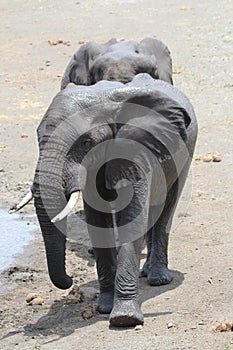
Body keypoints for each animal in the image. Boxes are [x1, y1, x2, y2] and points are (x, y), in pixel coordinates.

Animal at [10, 39, 198, 326]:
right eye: (39, 140)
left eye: (86, 142)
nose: (69, 280)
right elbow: (97, 219)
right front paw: (103, 306)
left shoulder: (135, 147)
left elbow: (133, 213)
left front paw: (124, 319)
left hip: (186, 149)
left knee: (166, 205)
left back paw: (156, 278)